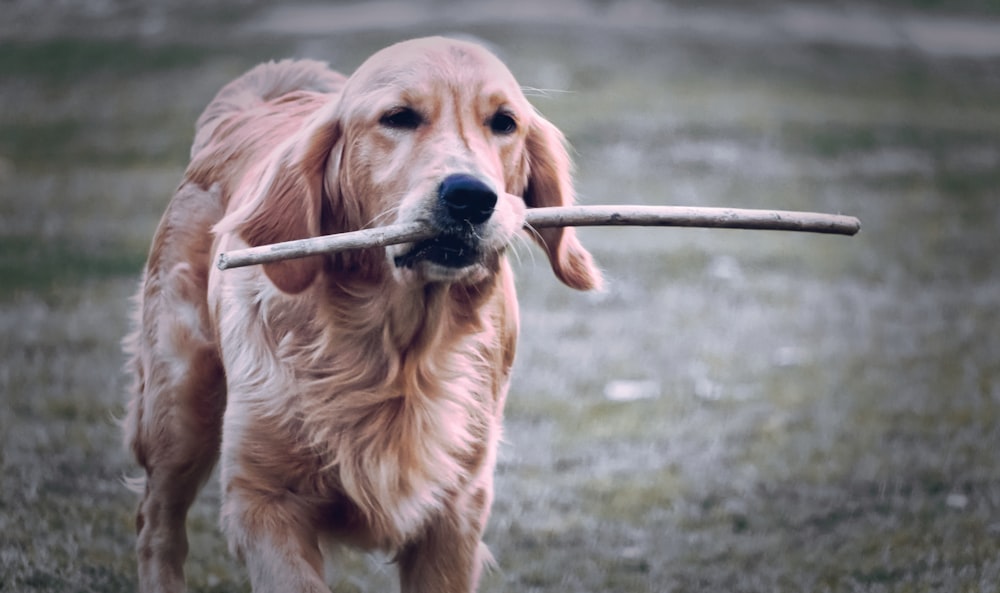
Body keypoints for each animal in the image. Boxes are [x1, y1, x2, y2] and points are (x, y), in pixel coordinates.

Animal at [121, 38, 596, 592]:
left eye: (504, 123)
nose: (471, 197)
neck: (395, 354)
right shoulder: (264, 498)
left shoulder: (455, 513)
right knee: (156, 524)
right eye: (399, 117)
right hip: (178, 405)